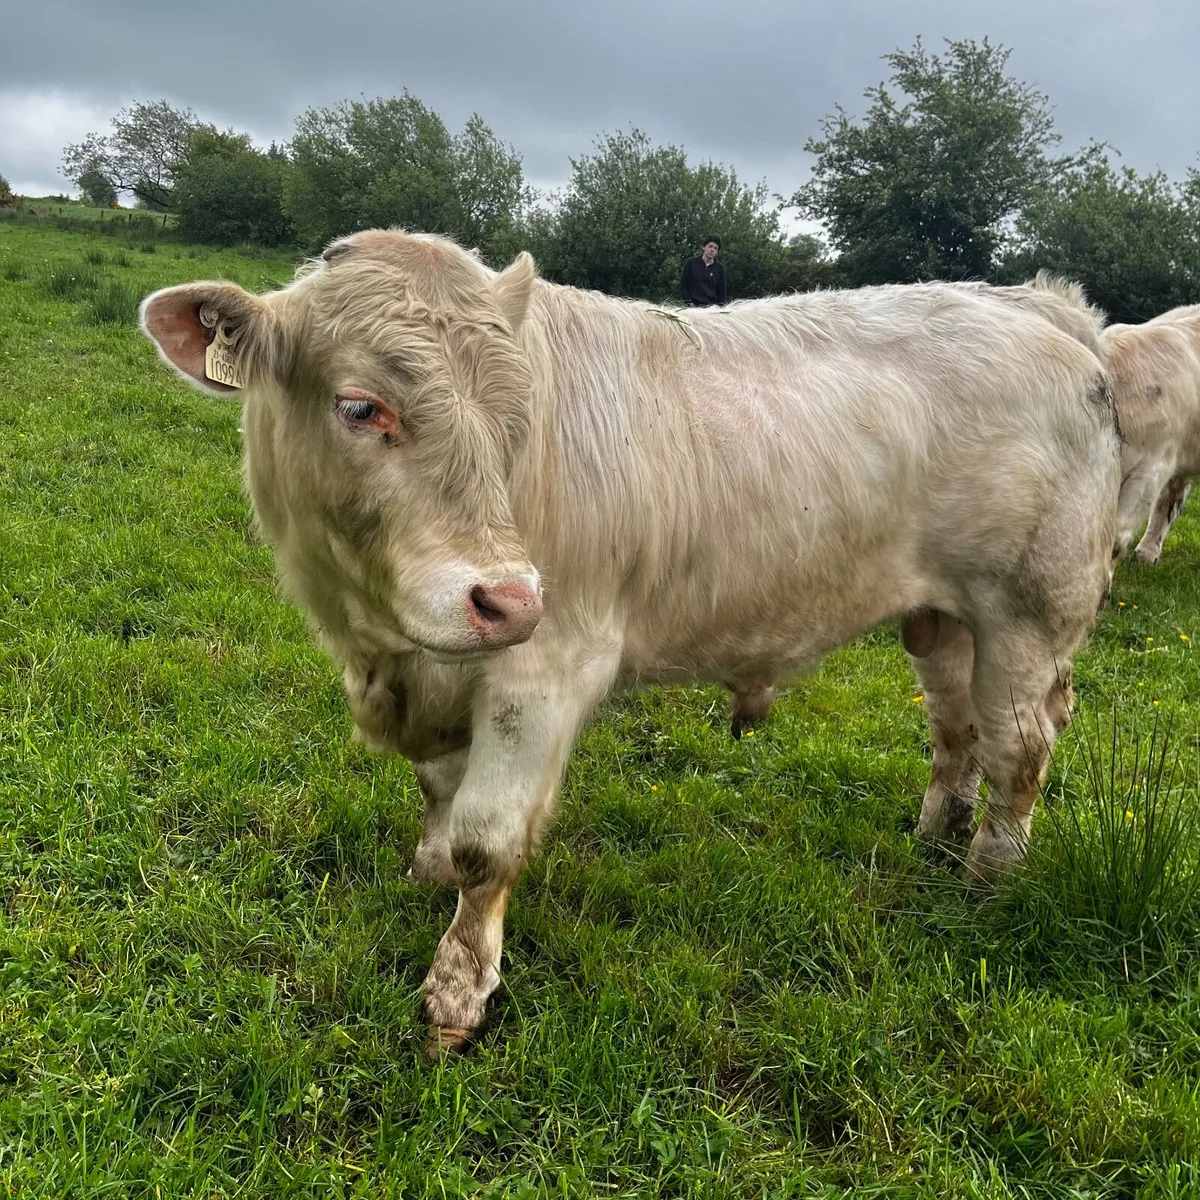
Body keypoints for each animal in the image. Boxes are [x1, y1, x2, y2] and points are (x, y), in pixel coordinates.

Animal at [140, 230, 1121, 1056]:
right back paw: (935, 835)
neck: (380, 643)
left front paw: (457, 994)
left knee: (1020, 748)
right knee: (957, 728)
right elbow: (438, 802)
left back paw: (988, 879)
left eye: (514, 416)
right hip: (942, 618)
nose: (507, 599)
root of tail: (1041, 306)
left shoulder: (545, 669)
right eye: (359, 406)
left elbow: (486, 841)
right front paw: (426, 874)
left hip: (1028, 612)